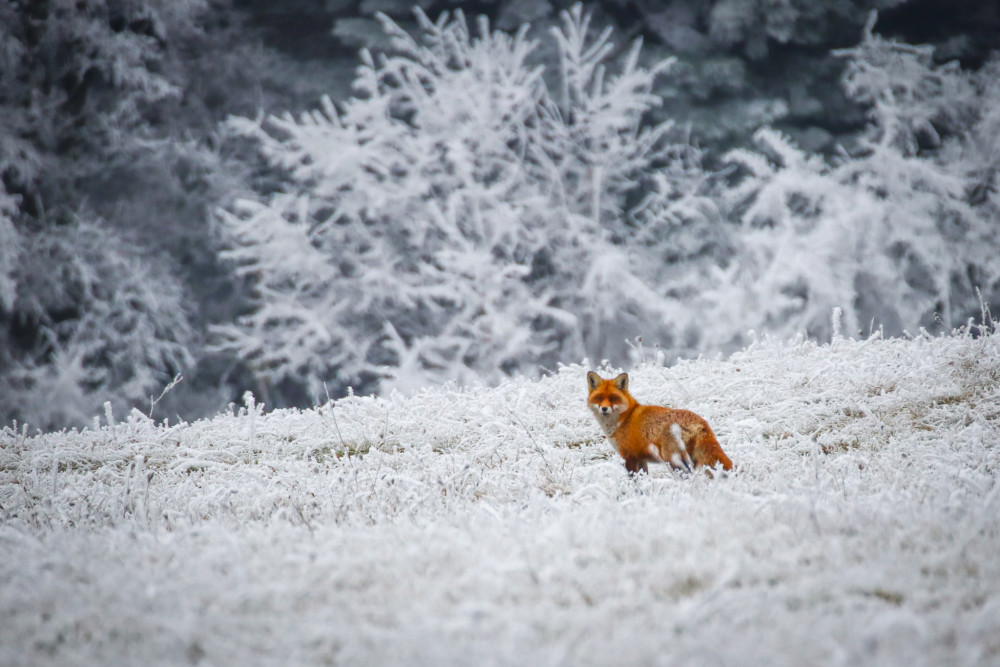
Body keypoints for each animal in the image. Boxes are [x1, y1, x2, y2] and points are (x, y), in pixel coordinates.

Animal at [584, 374, 736, 478]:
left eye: (613, 399)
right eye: (599, 398)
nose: (604, 409)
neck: (625, 418)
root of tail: (700, 421)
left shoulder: (629, 457)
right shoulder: (641, 459)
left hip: (674, 460)